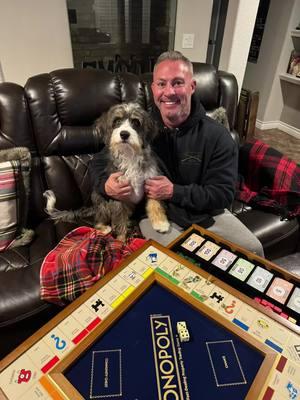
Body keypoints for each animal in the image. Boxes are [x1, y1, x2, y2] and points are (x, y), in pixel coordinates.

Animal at [44, 104, 171, 241]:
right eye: (116, 121)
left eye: (136, 122)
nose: (124, 134)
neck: (130, 155)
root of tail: (93, 208)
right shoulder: (118, 194)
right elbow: (120, 220)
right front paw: (121, 240)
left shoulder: (152, 181)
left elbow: (155, 204)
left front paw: (160, 223)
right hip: (102, 201)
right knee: (99, 220)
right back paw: (103, 227)